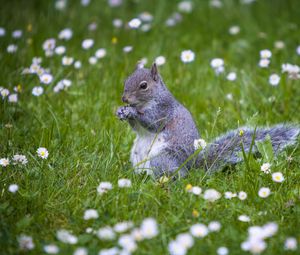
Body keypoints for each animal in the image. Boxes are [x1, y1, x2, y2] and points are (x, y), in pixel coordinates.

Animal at [115, 63, 300, 177]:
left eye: (143, 86)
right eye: (126, 80)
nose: (124, 99)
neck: (146, 102)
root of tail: (189, 168)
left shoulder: (163, 109)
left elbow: (153, 122)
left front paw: (132, 111)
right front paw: (121, 111)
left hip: (162, 159)